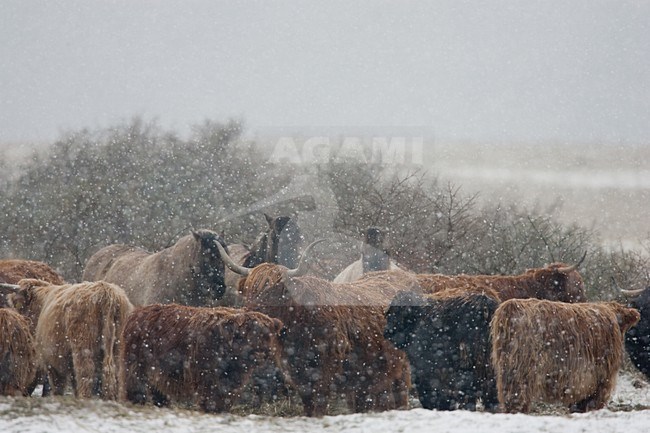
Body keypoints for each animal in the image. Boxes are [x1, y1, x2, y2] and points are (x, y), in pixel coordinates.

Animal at [119, 304, 286, 412]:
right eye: (246, 334)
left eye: (267, 336)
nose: (260, 354)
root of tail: (136, 313)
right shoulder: (207, 376)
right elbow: (211, 399)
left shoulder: (232, 381)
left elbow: (225, 400)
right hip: (136, 364)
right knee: (135, 387)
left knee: (158, 391)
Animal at [218, 243, 416, 416]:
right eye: (249, 290)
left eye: (277, 292)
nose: (254, 315)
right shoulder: (300, 378)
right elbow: (308, 407)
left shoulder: (323, 376)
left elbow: (319, 408)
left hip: (401, 368)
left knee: (400, 397)